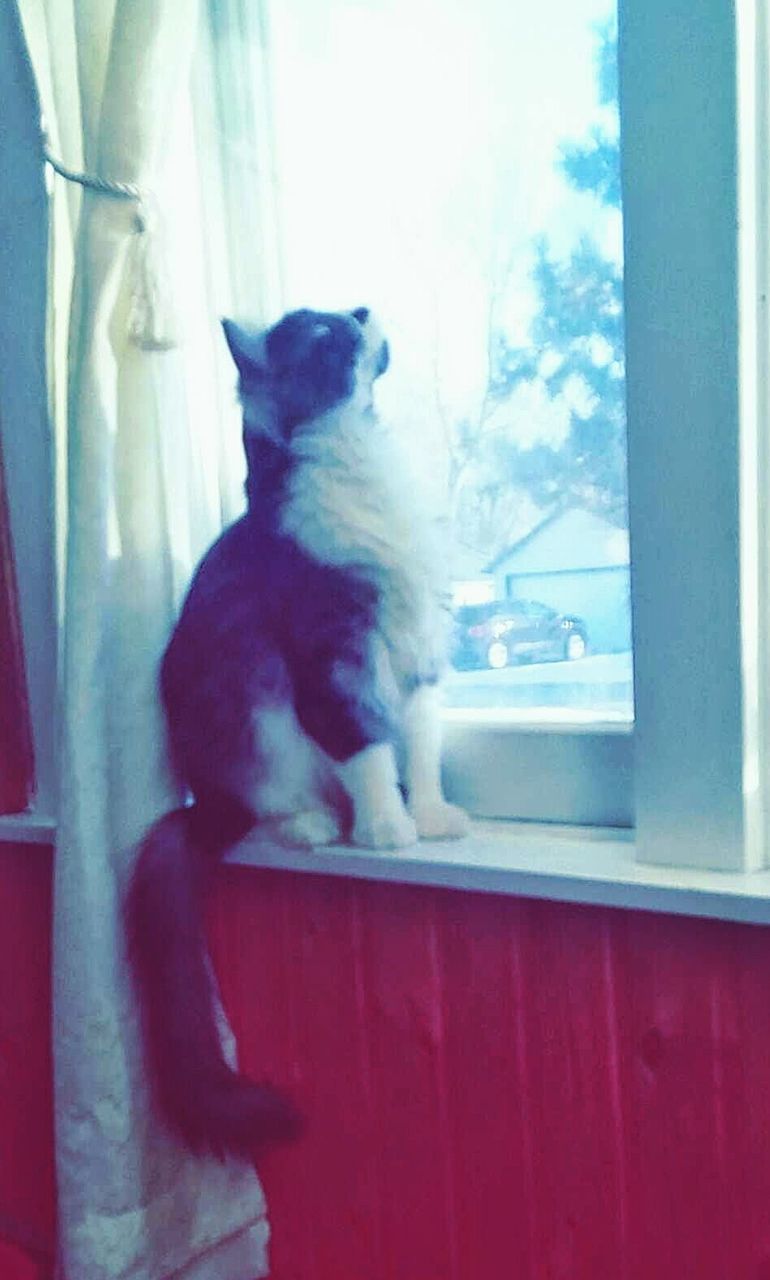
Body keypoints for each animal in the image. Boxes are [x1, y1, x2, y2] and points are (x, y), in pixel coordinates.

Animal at [124, 304, 468, 1157]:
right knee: (274, 804)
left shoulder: (417, 652)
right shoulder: (332, 654)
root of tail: (201, 806)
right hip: (258, 724)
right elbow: (368, 748)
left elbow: (421, 743)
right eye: (322, 330)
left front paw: (431, 814)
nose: (362, 308)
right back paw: (317, 825)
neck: (362, 464)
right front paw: (388, 826)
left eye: (344, 311)